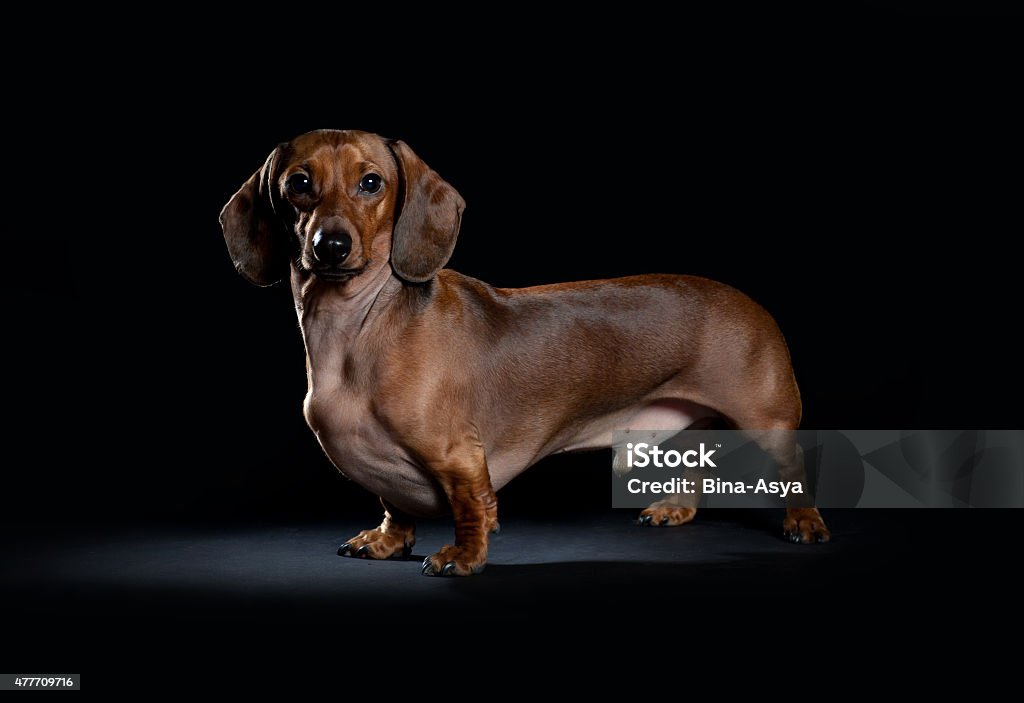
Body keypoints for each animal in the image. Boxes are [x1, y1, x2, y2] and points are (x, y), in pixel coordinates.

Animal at [220, 129, 827, 573]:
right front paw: (389, 540)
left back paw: (804, 522)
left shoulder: (461, 457)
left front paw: (464, 556)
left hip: (767, 418)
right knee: (697, 467)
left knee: (794, 465)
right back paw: (675, 508)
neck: (359, 330)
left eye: (371, 182)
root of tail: (750, 302)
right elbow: (394, 503)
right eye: (299, 183)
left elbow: (473, 507)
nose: (330, 245)